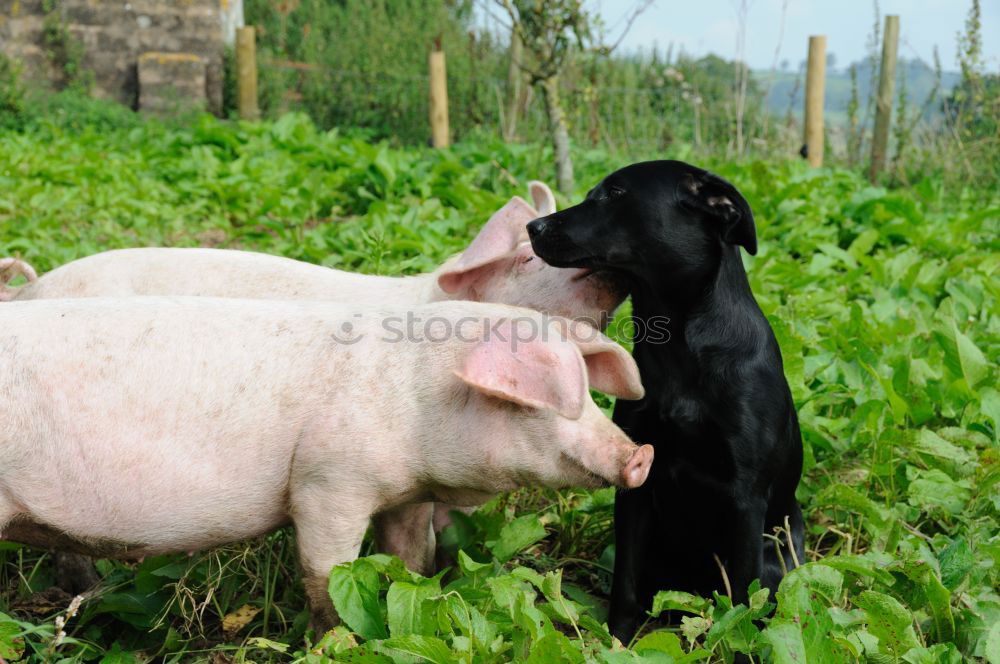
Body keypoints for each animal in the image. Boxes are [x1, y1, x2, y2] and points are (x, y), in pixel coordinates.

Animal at [0, 298, 652, 632]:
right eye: (542, 402)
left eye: (590, 389)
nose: (639, 455)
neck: (420, 401)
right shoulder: (328, 482)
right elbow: (328, 572)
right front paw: (331, 638)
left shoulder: (404, 494)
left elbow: (409, 561)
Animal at [532, 161, 804, 644]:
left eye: (615, 193)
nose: (533, 227)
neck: (679, 343)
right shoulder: (637, 481)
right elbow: (624, 585)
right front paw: (617, 644)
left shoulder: (746, 499)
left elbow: (741, 602)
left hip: (777, 555)